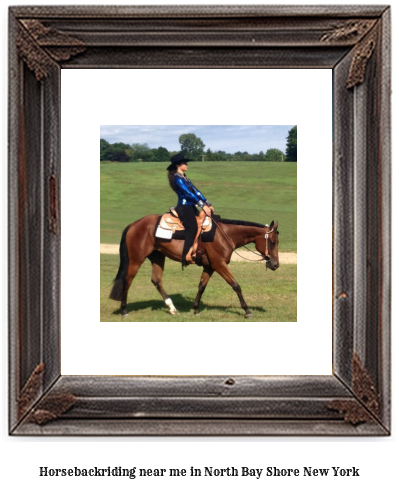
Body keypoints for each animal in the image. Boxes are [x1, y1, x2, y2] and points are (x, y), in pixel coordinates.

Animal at [108, 215, 280, 320]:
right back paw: (124, 310)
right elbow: (235, 285)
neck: (223, 235)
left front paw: (196, 309)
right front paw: (247, 310)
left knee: (156, 280)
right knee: (127, 281)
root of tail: (133, 224)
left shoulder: (210, 267)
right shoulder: (219, 264)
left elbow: (201, 286)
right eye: (272, 242)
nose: (275, 264)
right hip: (136, 260)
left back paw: (172, 308)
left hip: (157, 257)